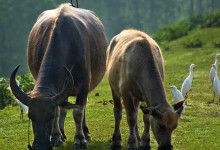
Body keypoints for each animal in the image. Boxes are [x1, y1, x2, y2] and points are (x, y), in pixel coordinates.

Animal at [9, 3, 107, 150]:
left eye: (49, 116)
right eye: (31, 117)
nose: (41, 146)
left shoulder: (84, 85)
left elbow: (77, 112)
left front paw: (80, 139)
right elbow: (59, 110)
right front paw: (56, 136)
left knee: (81, 107)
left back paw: (85, 133)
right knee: (63, 107)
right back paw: (62, 133)